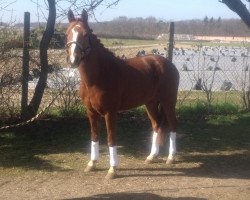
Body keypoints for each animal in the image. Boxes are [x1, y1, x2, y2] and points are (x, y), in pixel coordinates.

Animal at [66, 9, 180, 179]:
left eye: (85, 34)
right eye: (66, 33)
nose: (74, 59)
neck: (99, 75)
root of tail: (167, 63)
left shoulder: (110, 112)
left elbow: (111, 139)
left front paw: (112, 169)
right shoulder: (91, 112)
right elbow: (94, 136)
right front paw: (92, 164)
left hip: (168, 102)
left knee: (172, 125)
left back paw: (171, 157)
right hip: (151, 103)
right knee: (156, 125)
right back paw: (151, 156)